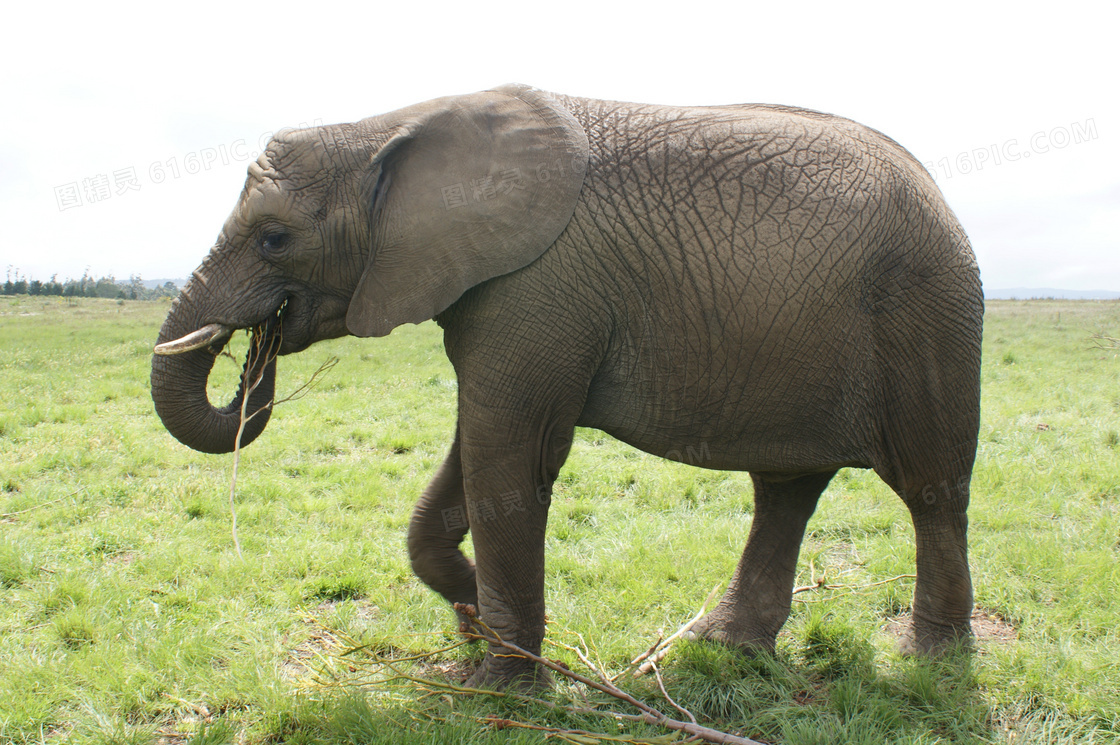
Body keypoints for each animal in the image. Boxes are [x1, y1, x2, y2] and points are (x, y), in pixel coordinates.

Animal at [148, 84, 981, 690]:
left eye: (274, 237)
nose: (256, 346)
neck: (389, 125)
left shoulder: (536, 287)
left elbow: (510, 457)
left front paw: (499, 680)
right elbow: (475, 452)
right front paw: (472, 615)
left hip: (924, 315)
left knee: (931, 490)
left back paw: (932, 668)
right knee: (787, 488)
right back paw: (727, 649)